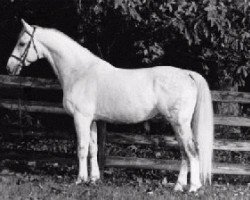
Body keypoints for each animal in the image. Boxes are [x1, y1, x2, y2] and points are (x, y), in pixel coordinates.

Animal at [5, 19, 213, 192]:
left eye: (22, 43)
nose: (9, 67)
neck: (79, 72)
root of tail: (186, 73)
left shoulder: (81, 118)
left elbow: (82, 148)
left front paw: (80, 179)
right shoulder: (92, 120)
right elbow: (93, 149)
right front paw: (94, 179)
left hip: (179, 123)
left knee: (192, 151)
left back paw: (193, 188)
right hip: (177, 124)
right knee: (184, 153)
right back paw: (178, 186)